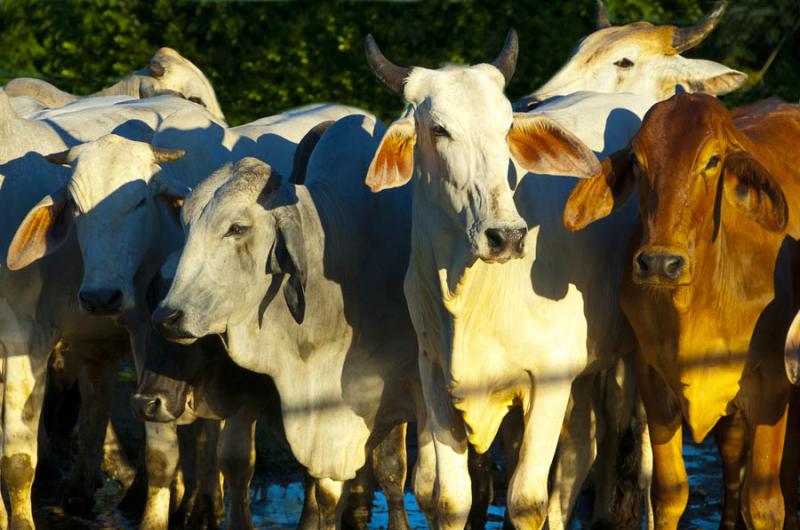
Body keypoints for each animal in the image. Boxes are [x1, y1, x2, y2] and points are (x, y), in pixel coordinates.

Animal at [564, 93, 800, 524]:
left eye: (713, 160)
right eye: (638, 161)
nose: (660, 263)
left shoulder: (774, 385)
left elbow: (764, 505)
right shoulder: (654, 380)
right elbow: (669, 493)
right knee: (730, 453)